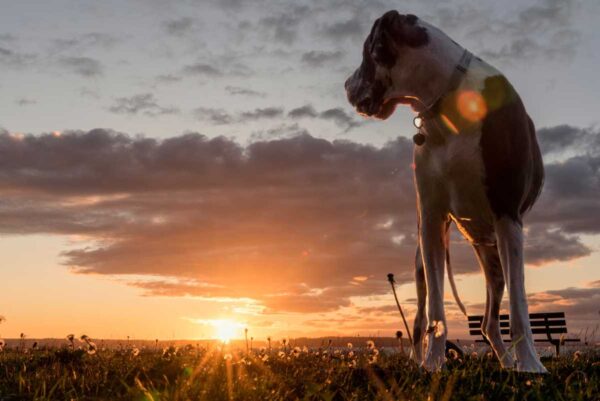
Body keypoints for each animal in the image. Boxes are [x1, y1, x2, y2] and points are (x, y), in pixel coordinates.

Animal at [344, 10, 548, 372]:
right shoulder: (431, 220)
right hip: (423, 263)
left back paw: (509, 362)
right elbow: (436, 312)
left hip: (495, 258)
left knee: (492, 318)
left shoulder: (508, 215)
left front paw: (530, 366)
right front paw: (432, 364)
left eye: (367, 50)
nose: (345, 86)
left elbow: (520, 306)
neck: (446, 104)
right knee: (422, 318)